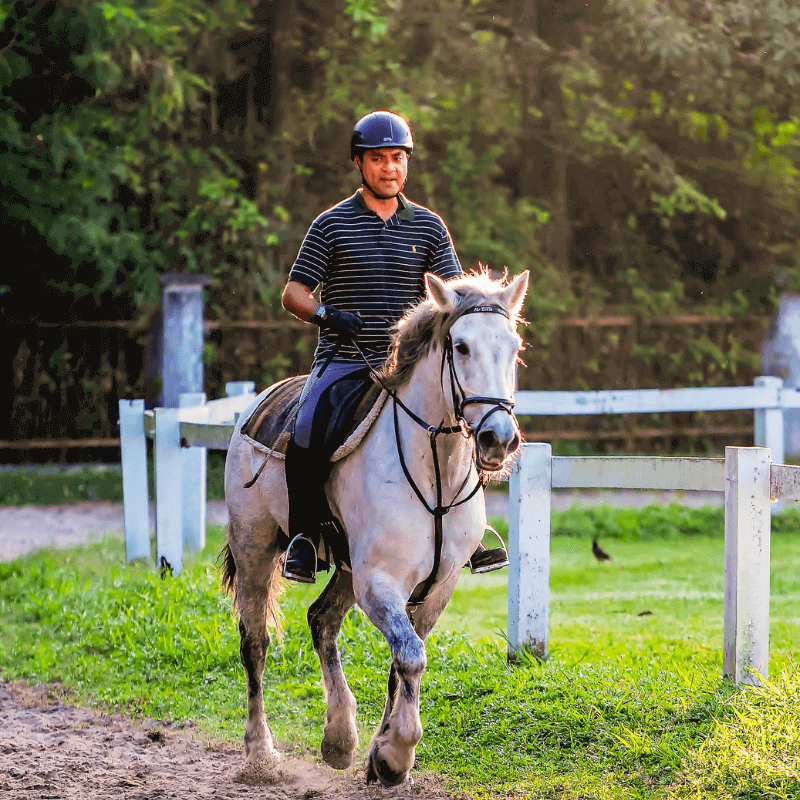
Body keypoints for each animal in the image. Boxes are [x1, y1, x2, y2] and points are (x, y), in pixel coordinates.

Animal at [222, 268, 528, 788]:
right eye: (461, 346)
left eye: (514, 345)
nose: (497, 438)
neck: (434, 471)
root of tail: (256, 405)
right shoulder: (379, 583)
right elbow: (410, 656)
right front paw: (395, 753)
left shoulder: (436, 586)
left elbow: (401, 662)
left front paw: (379, 753)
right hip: (255, 550)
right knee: (255, 642)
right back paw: (261, 753)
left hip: (346, 569)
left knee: (321, 620)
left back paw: (338, 738)